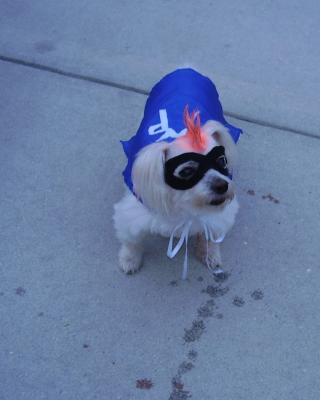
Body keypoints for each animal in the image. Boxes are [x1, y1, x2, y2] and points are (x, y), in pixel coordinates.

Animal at [114, 68, 241, 278]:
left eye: (222, 161)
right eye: (187, 171)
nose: (222, 185)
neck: (184, 203)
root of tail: (186, 69)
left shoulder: (216, 215)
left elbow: (211, 236)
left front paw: (209, 253)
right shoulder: (134, 212)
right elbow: (132, 240)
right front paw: (129, 259)